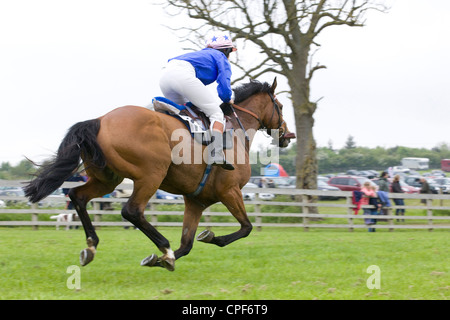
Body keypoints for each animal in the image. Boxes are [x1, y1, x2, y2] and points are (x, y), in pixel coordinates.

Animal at [26, 77, 298, 270]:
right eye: (280, 106)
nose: (287, 135)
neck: (237, 131)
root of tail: (100, 120)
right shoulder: (229, 191)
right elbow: (246, 227)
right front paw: (207, 238)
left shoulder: (195, 201)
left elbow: (187, 244)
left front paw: (159, 259)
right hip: (151, 175)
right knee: (131, 211)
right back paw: (163, 249)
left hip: (107, 179)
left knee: (78, 196)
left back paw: (91, 247)